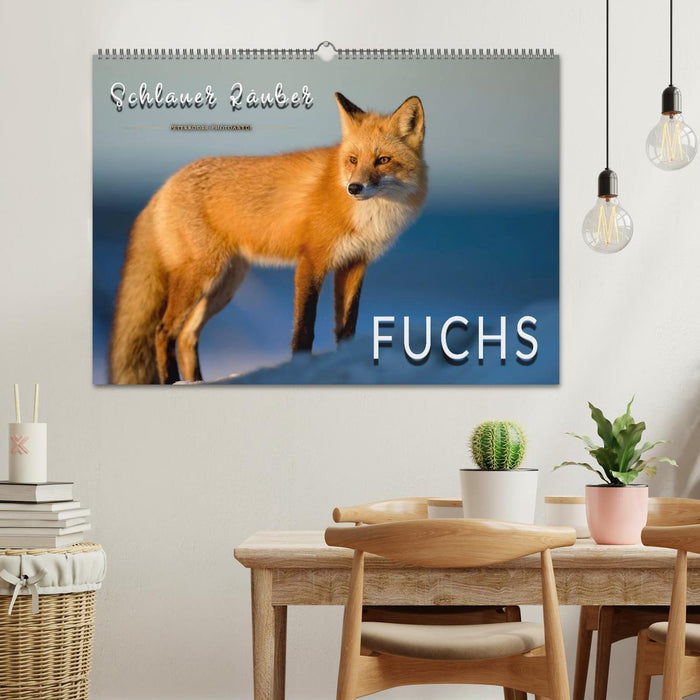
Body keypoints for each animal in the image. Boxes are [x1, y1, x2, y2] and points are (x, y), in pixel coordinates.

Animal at [109, 92, 427, 384]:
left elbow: (347, 328)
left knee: (187, 336)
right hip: (201, 276)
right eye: (353, 160)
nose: (354, 188)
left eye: (383, 160)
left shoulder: (354, 264)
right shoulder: (311, 261)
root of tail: (164, 187)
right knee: (163, 332)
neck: (369, 215)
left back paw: (195, 382)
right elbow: (304, 328)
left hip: (225, 285)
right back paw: (173, 381)